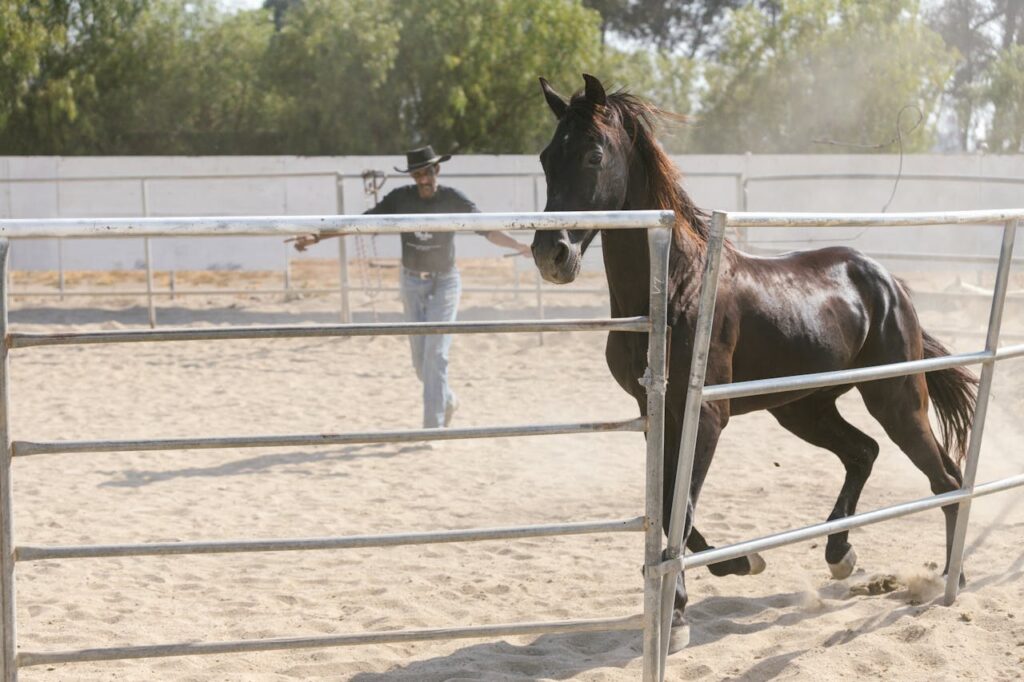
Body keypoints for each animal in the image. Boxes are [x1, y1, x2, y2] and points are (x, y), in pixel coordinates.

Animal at [529, 74, 977, 628]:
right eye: (547, 157)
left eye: (593, 154)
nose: (552, 254)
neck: (678, 285)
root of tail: (889, 282)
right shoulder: (656, 413)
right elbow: (668, 504)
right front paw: (736, 565)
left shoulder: (707, 415)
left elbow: (681, 506)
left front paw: (682, 604)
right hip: (805, 410)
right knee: (864, 453)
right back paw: (840, 555)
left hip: (896, 399)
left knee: (945, 478)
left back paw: (950, 578)